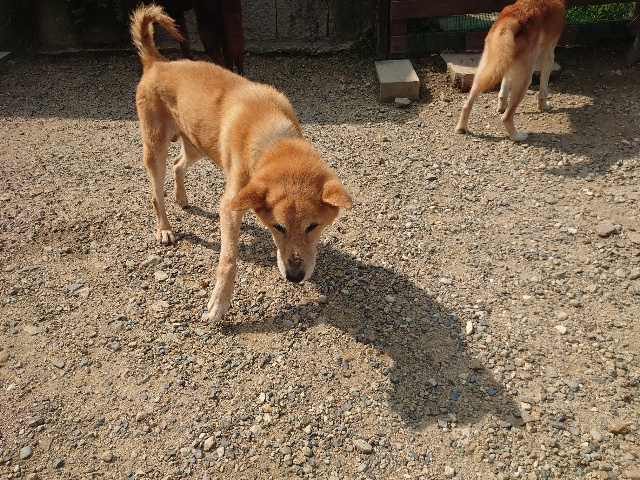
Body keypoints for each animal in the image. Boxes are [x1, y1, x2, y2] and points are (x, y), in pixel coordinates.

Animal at [130, 5, 352, 322]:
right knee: (155, 193)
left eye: (313, 226)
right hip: (155, 149)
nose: (295, 276)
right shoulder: (230, 204)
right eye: (277, 226)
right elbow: (228, 259)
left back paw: (182, 198)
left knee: (178, 163)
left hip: (198, 144)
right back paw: (164, 228)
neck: (271, 135)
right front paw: (218, 304)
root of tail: (156, 62)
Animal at [455, 0, 565, 141]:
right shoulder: (549, 53)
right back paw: (517, 136)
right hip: (524, 79)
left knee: (467, 104)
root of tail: (511, 20)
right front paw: (544, 106)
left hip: (484, 69)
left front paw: (502, 105)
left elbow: (503, 89)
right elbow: (543, 90)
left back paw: (462, 128)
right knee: (506, 117)